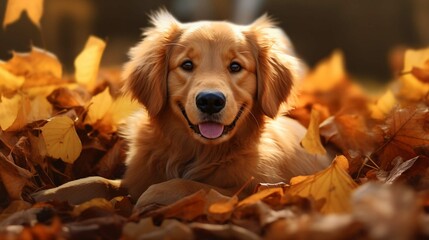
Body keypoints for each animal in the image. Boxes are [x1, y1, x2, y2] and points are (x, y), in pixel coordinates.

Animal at [120, 10, 328, 206]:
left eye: (235, 66)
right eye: (187, 64)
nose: (210, 100)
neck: (201, 153)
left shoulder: (255, 190)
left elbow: (192, 185)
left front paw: (153, 194)